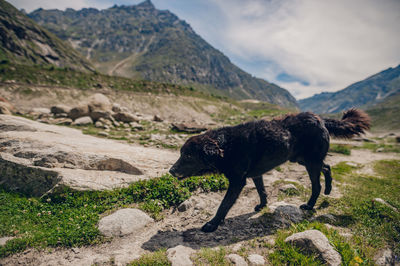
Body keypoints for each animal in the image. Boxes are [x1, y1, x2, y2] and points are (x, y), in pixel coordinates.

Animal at [168, 109, 368, 232]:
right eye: (181, 153)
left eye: (188, 156)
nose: (171, 171)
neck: (226, 146)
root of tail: (320, 119)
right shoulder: (256, 174)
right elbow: (262, 191)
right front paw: (262, 206)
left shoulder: (237, 181)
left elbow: (223, 205)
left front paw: (212, 224)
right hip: (302, 159)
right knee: (326, 167)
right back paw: (328, 189)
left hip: (310, 162)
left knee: (316, 184)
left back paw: (310, 205)